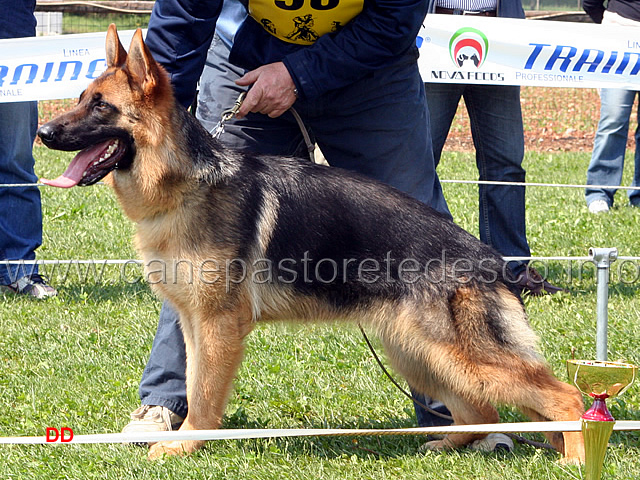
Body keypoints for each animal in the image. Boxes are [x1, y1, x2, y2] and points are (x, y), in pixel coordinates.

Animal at [35, 25, 584, 462]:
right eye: (80, 97)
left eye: (101, 106)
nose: (43, 131)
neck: (185, 182)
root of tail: (493, 260)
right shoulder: (193, 323)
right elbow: (191, 382)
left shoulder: (218, 326)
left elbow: (205, 392)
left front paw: (186, 444)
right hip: (416, 351)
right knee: (480, 411)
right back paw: (447, 444)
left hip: (452, 354)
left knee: (563, 397)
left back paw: (576, 456)